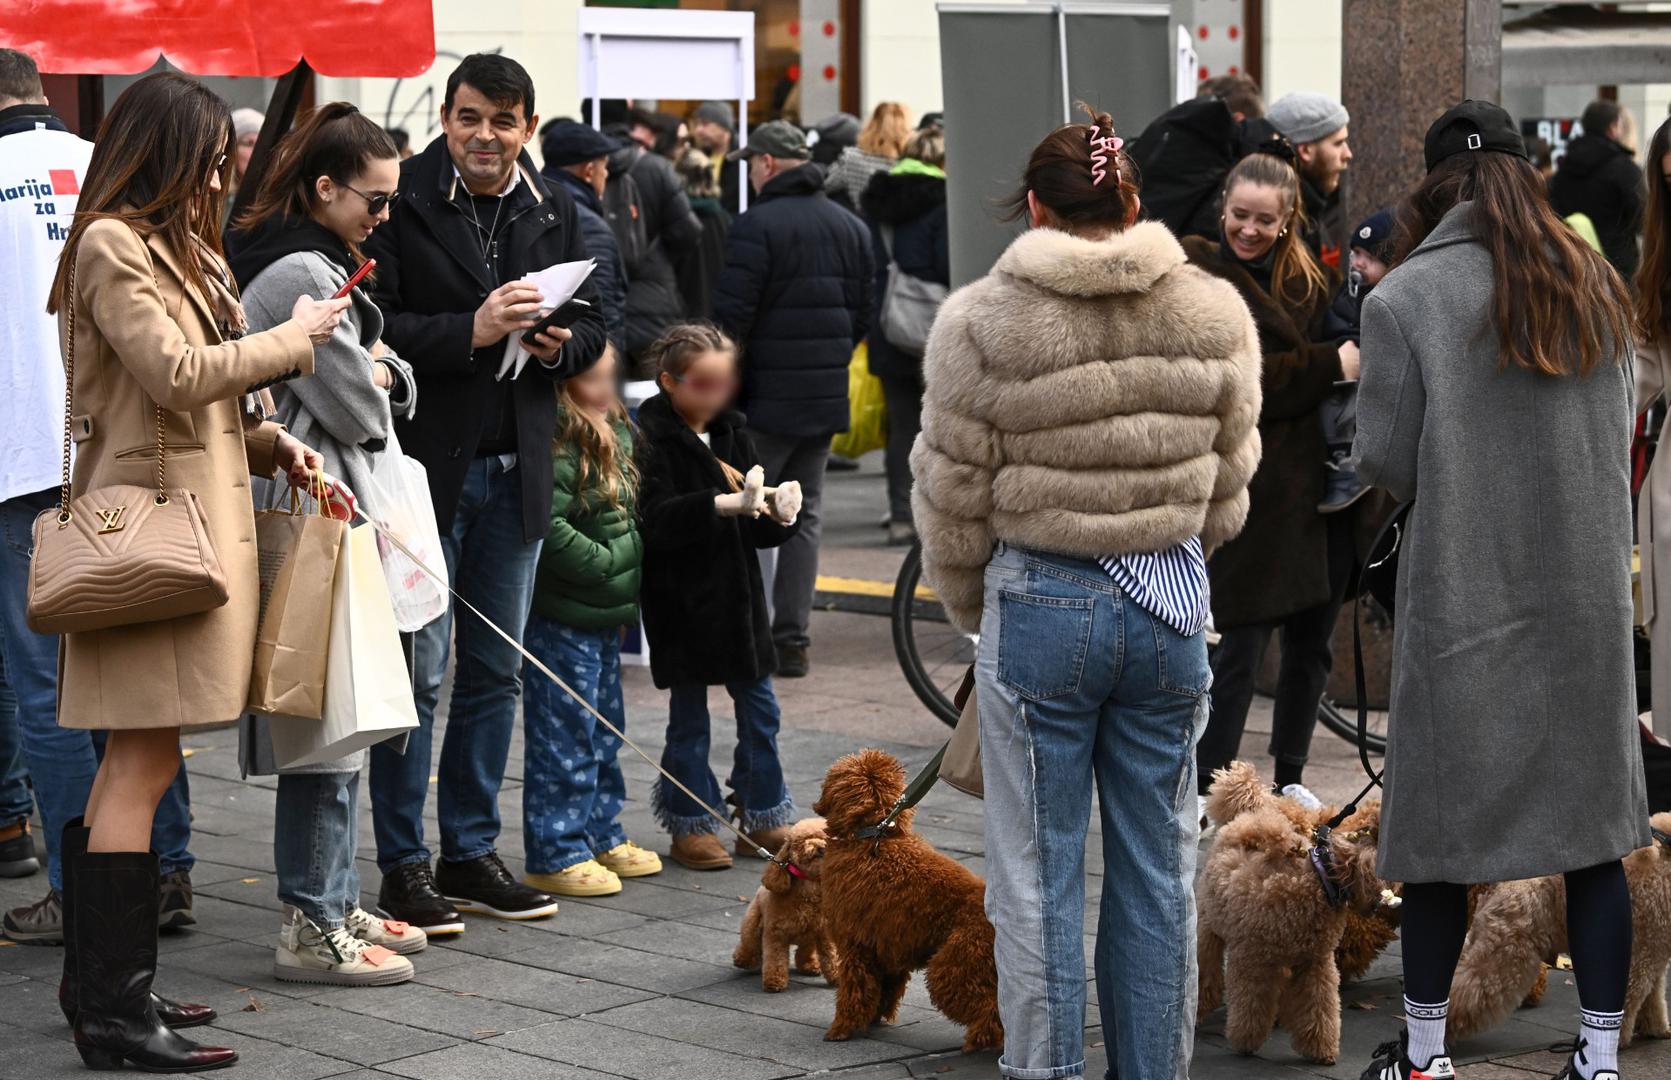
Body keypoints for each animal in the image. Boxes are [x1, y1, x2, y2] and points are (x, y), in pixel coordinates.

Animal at [731, 815, 835, 996]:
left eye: (826, 837)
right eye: (803, 840)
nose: (820, 847)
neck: (809, 886)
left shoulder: (824, 932)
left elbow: (832, 956)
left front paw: (837, 978)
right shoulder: (776, 934)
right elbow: (775, 959)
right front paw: (774, 982)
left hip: (809, 936)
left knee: (804, 951)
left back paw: (809, 965)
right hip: (752, 924)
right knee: (749, 944)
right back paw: (742, 959)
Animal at [812, 748, 995, 1056]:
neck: (874, 836)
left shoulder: (854, 946)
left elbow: (853, 992)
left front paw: (841, 1029)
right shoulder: (889, 950)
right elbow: (882, 991)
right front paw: (873, 1018)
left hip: (953, 968)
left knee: (992, 1011)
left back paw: (977, 1042)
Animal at [1196, 762, 1390, 1063]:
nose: (1383, 900)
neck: (1321, 878)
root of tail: (1241, 820)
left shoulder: (1316, 963)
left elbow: (1320, 1008)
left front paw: (1321, 1048)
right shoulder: (1249, 962)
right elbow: (1250, 1005)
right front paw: (1245, 1040)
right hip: (1209, 927)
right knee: (1207, 968)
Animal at [1450, 815, 1671, 1056]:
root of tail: (1498, 886)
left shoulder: (1653, 953)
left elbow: (1653, 998)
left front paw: (1656, 1029)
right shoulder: (1642, 958)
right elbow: (1631, 997)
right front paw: (1616, 1040)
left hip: (1485, 940)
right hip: (1506, 956)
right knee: (1467, 993)